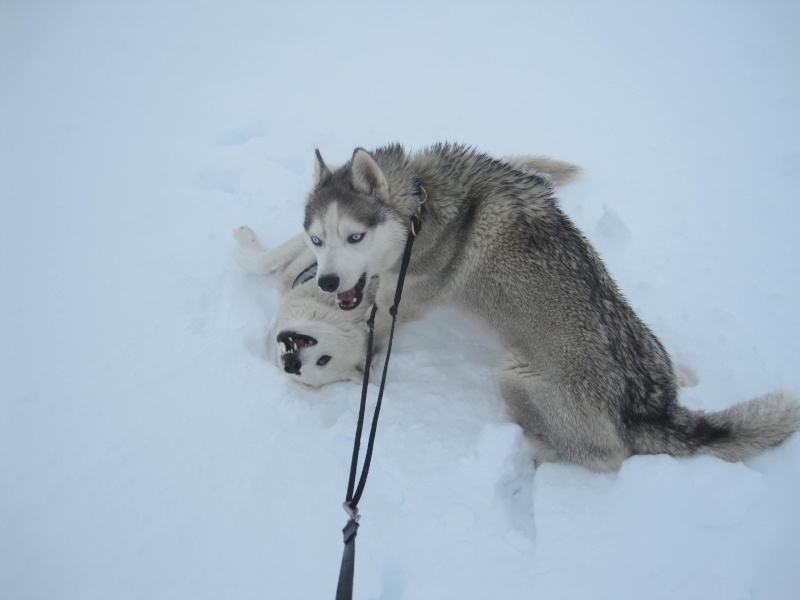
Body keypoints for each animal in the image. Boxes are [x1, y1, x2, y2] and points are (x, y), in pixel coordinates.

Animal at [304, 143, 796, 472]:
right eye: (316, 240)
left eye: (354, 237)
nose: (327, 281)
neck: (421, 207)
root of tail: (651, 413)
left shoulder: (399, 302)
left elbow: (376, 327)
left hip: (514, 376)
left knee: (605, 459)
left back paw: (536, 451)